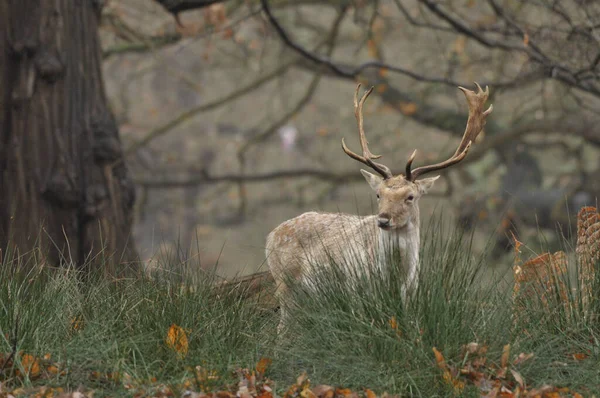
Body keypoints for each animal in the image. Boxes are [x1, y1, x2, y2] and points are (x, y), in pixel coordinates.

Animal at [266, 81, 492, 330]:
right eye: (378, 194)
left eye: (410, 196)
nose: (383, 219)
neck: (396, 277)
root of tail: (271, 235)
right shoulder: (357, 291)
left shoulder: (410, 293)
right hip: (285, 284)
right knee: (282, 329)